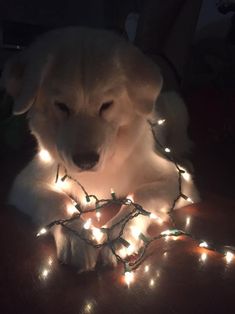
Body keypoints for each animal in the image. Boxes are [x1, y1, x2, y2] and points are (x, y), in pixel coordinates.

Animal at [0, 27, 199, 272]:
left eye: (106, 105)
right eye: (61, 106)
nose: (86, 161)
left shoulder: (177, 181)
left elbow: (139, 195)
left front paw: (119, 236)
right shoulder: (26, 182)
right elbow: (59, 200)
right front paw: (77, 237)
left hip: (176, 108)